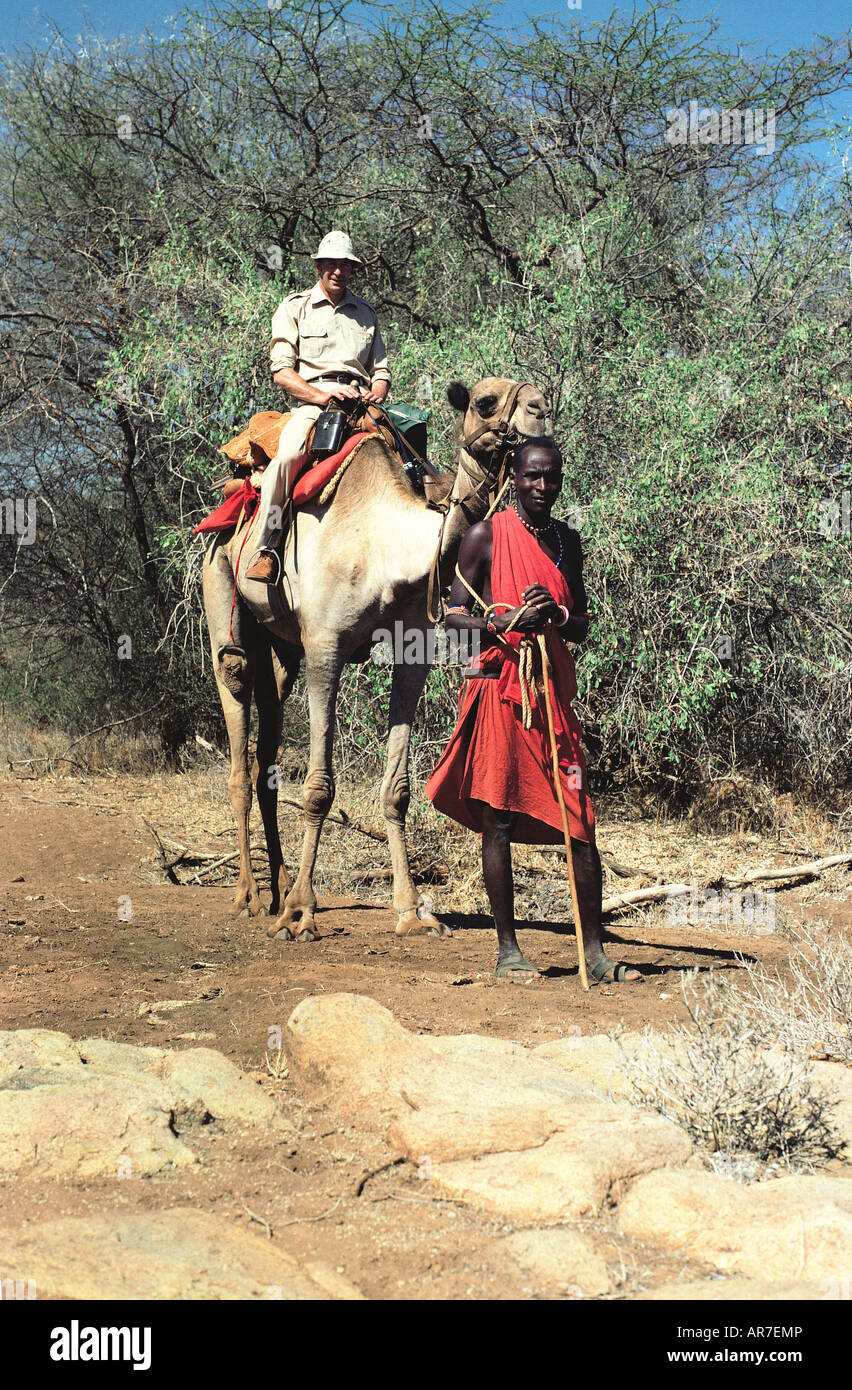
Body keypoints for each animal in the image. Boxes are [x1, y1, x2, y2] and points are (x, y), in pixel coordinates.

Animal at [202, 380, 555, 939]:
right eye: (485, 402)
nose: (543, 410)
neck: (386, 546)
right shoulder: (325, 645)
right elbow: (318, 787)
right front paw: (300, 913)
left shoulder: (413, 650)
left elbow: (397, 791)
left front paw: (411, 912)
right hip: (220, 588)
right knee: (235, 716)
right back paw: (251, 898)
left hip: (282, 651)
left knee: (266, 750)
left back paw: (278, 886)